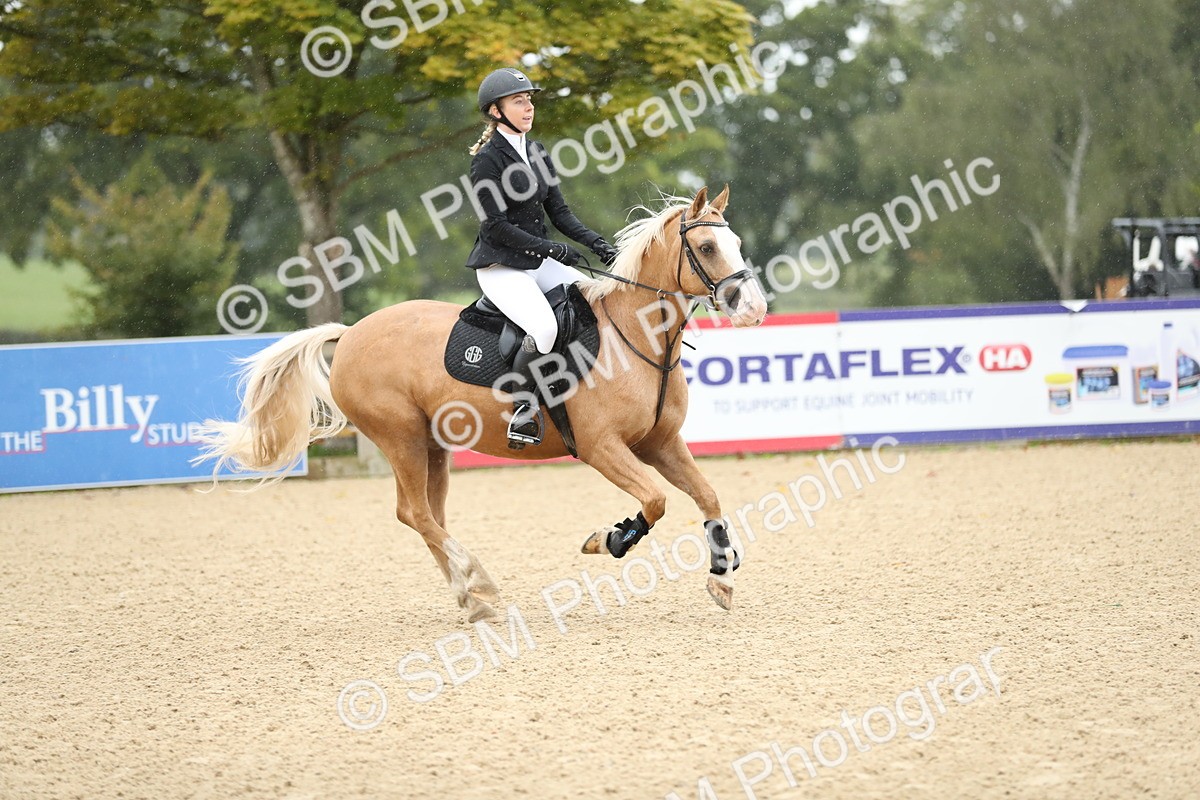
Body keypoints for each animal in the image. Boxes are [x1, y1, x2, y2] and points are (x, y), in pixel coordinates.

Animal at [196, 185, 768, 622]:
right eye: (709, 248)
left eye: (736, 242)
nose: (755, 310)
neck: (635, 337)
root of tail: (351, 333)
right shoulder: (602, 447)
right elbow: (655, 501)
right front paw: (610, 539)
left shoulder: (660, 442)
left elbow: (707, 495)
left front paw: (722, 576)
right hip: (400, 438)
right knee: (413, 512)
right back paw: (481, 581)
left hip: (432, 447)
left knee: (430, 515)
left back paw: (471, 598)